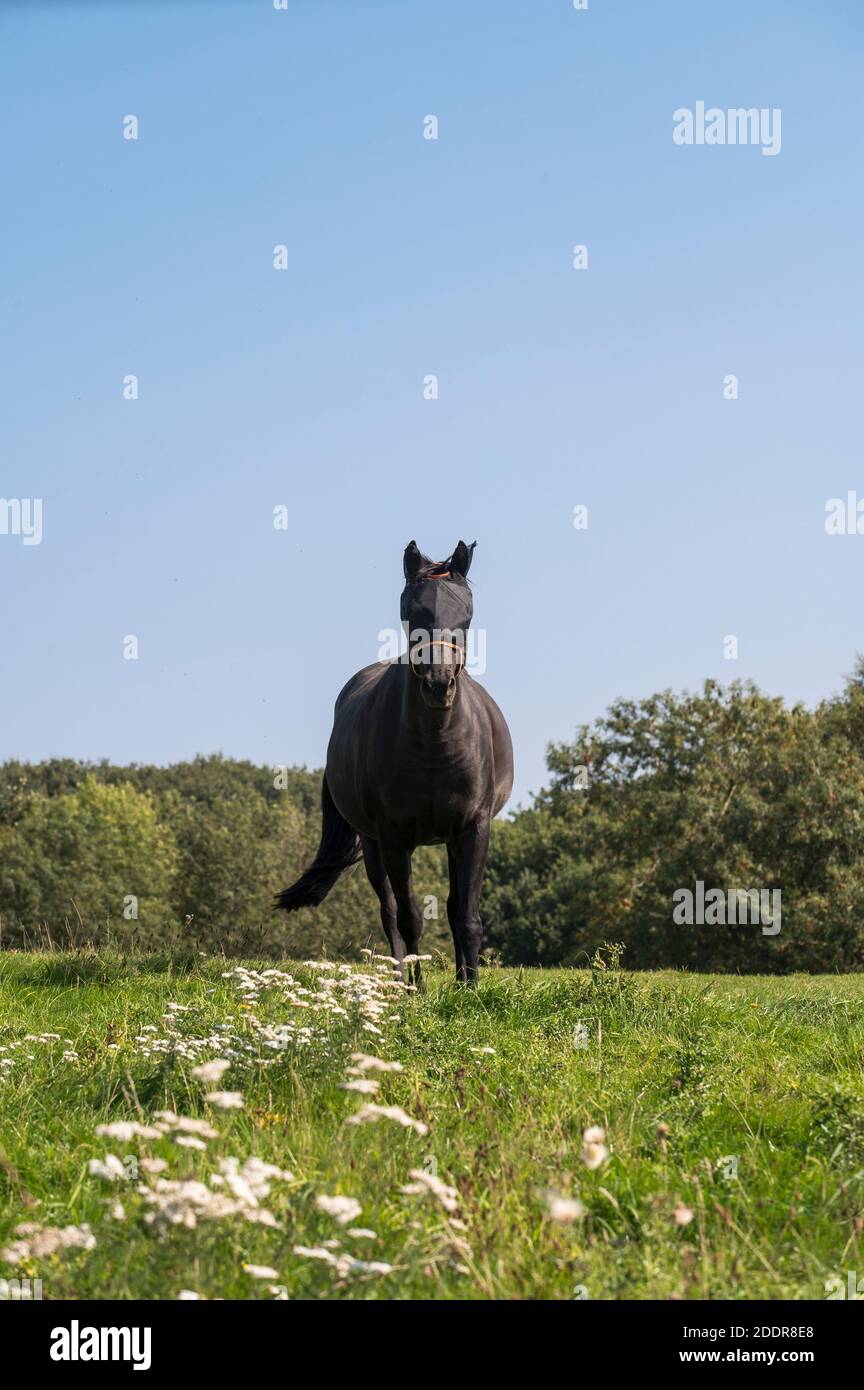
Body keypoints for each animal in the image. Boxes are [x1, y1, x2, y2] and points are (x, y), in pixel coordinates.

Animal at [277, 542, 513, 989]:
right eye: (411, 610)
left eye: (466, 613)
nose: (438, 684)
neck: (435, 744)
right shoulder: (392, 837)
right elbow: (408, 918)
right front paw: (415, 988)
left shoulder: (472, 828)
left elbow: (466, 916)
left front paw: (469, 987)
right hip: (372, 844)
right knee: (389, 912)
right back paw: (400, 977)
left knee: (452, 907)